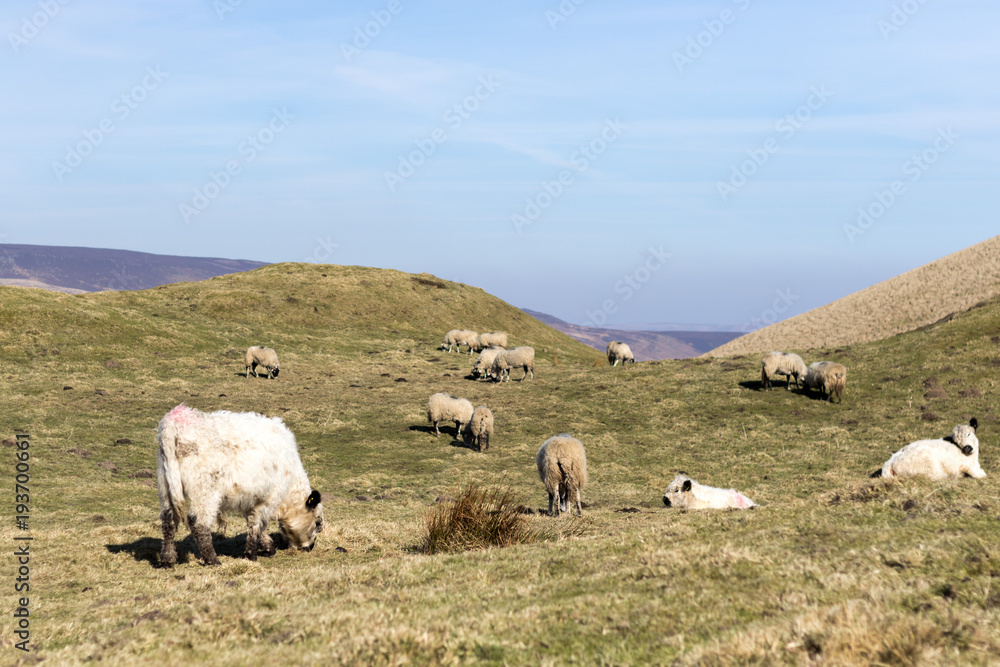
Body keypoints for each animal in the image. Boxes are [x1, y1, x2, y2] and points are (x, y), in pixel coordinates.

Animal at [157, 404, 323, 567]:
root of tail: (177, 418)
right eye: (317, 523)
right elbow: (258, 523)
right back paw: (212, 559)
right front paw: (253, 554)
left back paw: (168, 559)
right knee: (199, 523)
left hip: (166, 487)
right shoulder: (270, 498)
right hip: (205, 491)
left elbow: (255, 523)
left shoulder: (251, 498)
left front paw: (266, 546)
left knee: (168, 520)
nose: (310, 547)